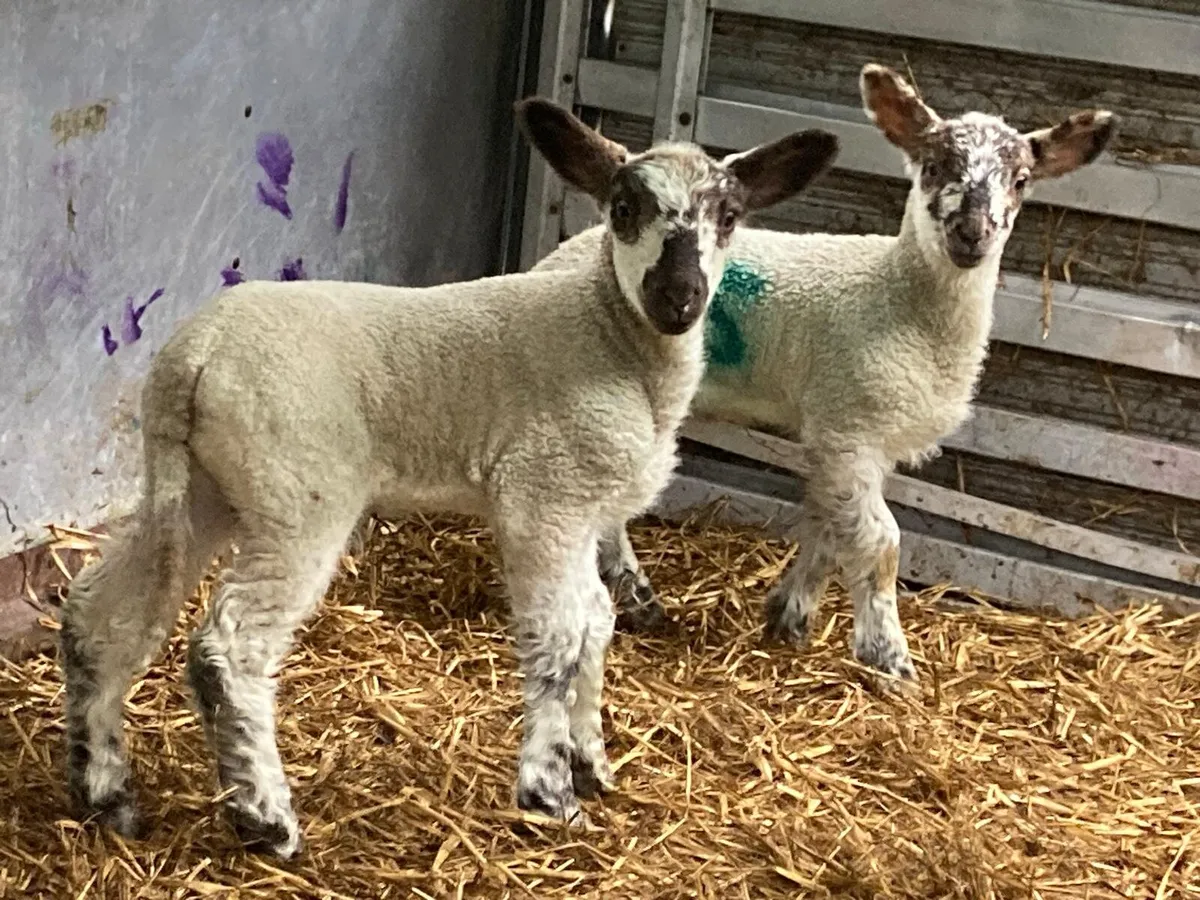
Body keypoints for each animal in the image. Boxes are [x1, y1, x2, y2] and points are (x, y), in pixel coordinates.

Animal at [57, 96, 839, 859]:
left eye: (730, 216)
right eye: (623, 208)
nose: (678, 295)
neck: (611, 336)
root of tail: (194, 356)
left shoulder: (585, 512)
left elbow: (596, 622)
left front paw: (591, 763)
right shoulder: (541, 499)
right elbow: (558, 638)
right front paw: (550, 791)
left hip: (199, 489)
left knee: (99, 609)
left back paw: (107, 791)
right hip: (297, 493)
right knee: (229, 646)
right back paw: (265, 819)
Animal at [535, 64, 1116, 684]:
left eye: (1022, 180)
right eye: (934, 166)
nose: (971, 232)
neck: (896, 298)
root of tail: (561, 254)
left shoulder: (856, 441)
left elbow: (830, 529)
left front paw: (790, 617)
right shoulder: (849, 426)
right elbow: (880, 543)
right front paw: (889, 659)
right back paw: (634, 595)